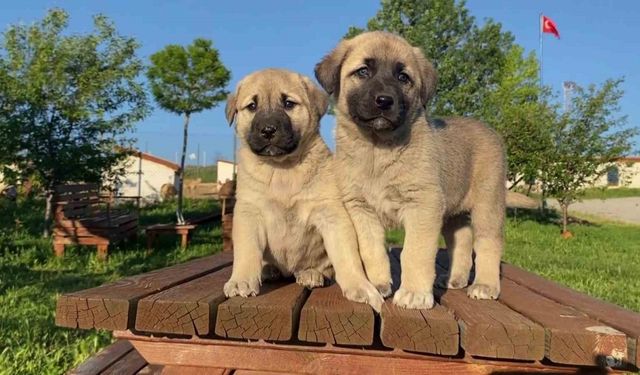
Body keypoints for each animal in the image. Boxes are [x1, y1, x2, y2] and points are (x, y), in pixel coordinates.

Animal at [222, 69, 382, 312]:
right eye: (252, 106)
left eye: (289, 103)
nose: (268, 130)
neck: (282, 169)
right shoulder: (249, 212)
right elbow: (246, 251)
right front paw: (240, 281)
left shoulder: (331, 215)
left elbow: (347, 256)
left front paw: (360, 286)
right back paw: (269, 270)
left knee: (325, 267)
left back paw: (311, 274)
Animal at [316, 32, 536, 310]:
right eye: (363, 71)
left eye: (403, 77)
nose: (384, 101)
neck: (377, 150)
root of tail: (490, 130)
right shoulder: (362, 209)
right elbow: (372, 250)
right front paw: (378, 284)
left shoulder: (423, 205)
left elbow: (415, 253)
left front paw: (414, 293)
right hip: (454, 214)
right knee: (462, 243)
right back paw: (455, 279)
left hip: (488, 205)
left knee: (489, 244)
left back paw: (485, 285)